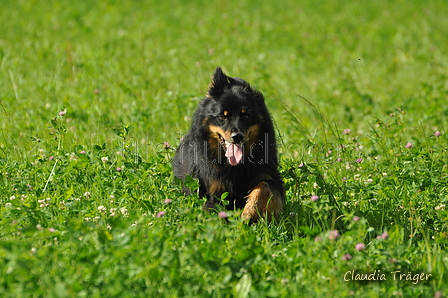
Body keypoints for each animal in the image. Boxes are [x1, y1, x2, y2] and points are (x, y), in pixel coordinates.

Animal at [173, 66, 286, 222]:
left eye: (246, 115)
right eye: (222, 116)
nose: (237, 137)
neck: (235, 167)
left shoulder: (272, 178)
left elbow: (264, 186)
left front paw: (248, 212)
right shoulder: (214, 192)